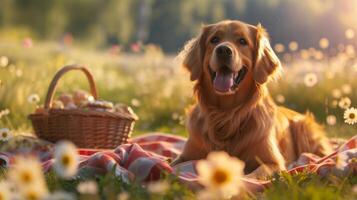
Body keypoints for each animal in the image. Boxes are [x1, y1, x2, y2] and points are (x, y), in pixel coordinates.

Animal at [171, 19, 332, 177]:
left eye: (242, 41)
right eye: (214, 39)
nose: (223, 50)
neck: (225, 114)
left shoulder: (273, 162)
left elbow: (255, 174)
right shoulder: (185, 156)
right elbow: (171, 165)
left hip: (303, 129)